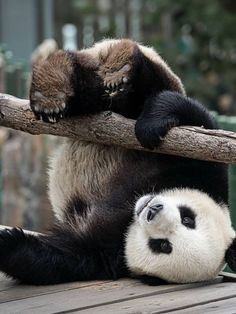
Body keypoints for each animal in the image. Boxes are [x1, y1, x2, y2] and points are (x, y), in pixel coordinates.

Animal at [0, 38, 236, 286]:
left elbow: (57, 257)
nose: (153, 209)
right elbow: (193, 117)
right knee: (135, 88)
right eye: (188, 218)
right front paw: (150, 127)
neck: (131, 211)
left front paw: (7, 244)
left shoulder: (109, 254)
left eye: (163, 245)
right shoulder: (205, 171)